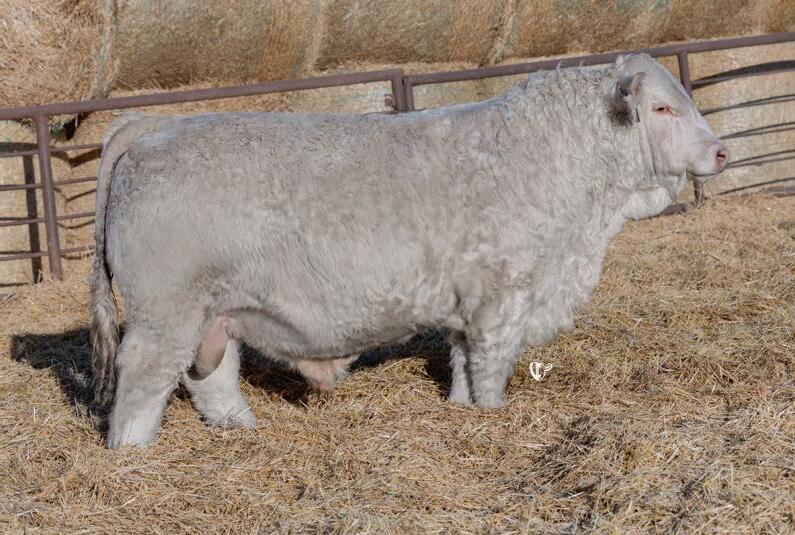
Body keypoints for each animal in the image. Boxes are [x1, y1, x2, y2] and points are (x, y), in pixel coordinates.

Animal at [90, 54, 727, 448]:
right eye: (664, 108)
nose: (720, 151)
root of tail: (150, 127)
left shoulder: (465, 308)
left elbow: (464, 369)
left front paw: (464, 414)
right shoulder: (502, 299)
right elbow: (491, 369)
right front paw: (492, 419)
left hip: (213, 313)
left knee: (212, 376)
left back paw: (243, 430)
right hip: (166, 310)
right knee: (144, 378)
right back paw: (132, 455)